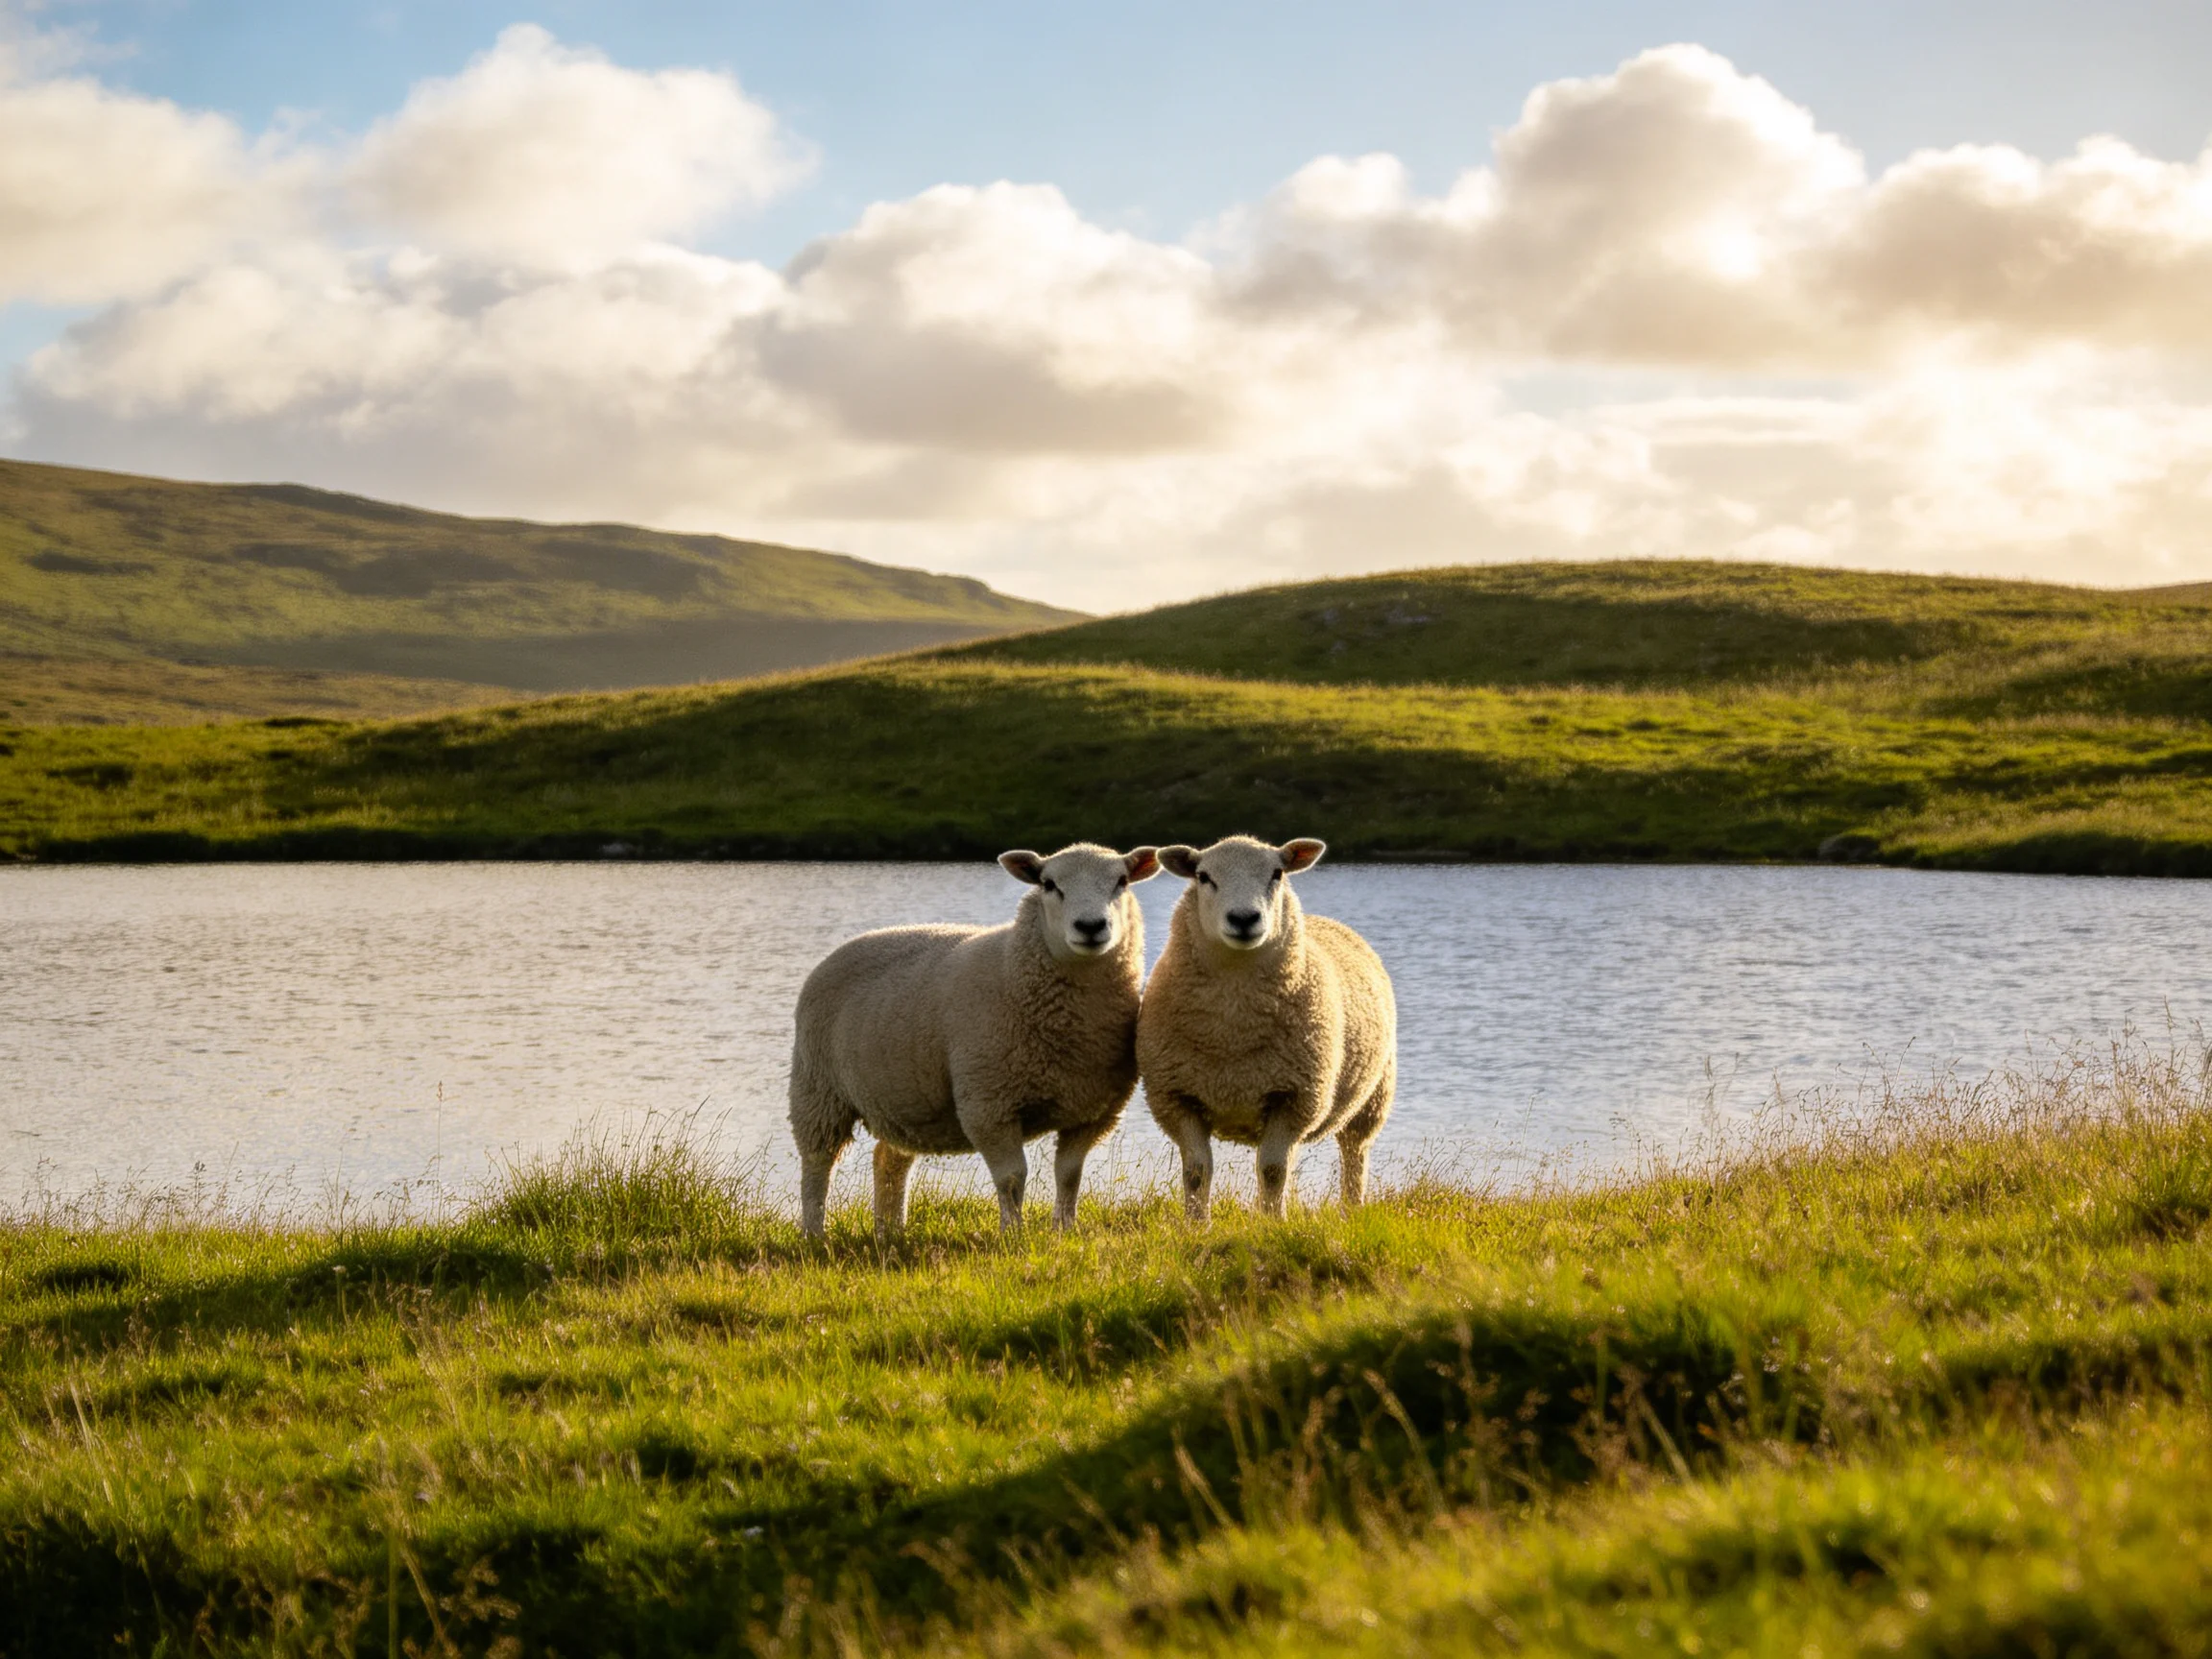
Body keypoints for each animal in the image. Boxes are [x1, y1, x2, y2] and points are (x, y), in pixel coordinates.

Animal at [789, 843, 1160, 1240]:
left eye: (1122, 881)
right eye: (1049, 884)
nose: (1090, 927)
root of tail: (849, 944)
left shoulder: (1093, 1110)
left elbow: (1070, 1175)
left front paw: (1064, 1231)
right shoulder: (988, 1105)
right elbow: (1013, 1178)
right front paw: (1013, 1234)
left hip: (903, 1102)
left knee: (889, 1159)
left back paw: (890, 1232)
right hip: (818, 1089)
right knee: (816, 1165)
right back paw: (815, 1235)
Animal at [1136, 835, 1396, 1221]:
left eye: (1277, 873)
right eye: (1204, 876)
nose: (1244, 919)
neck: (1234, 1030)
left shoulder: (1294, 1097)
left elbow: (1273, 1170)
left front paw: (1272, 1222)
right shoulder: (1176, 1096)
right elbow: (1197, 1170)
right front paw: (1197, 1224)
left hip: (1373, 1097)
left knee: (1354, 1154)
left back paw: (1351, 1211)